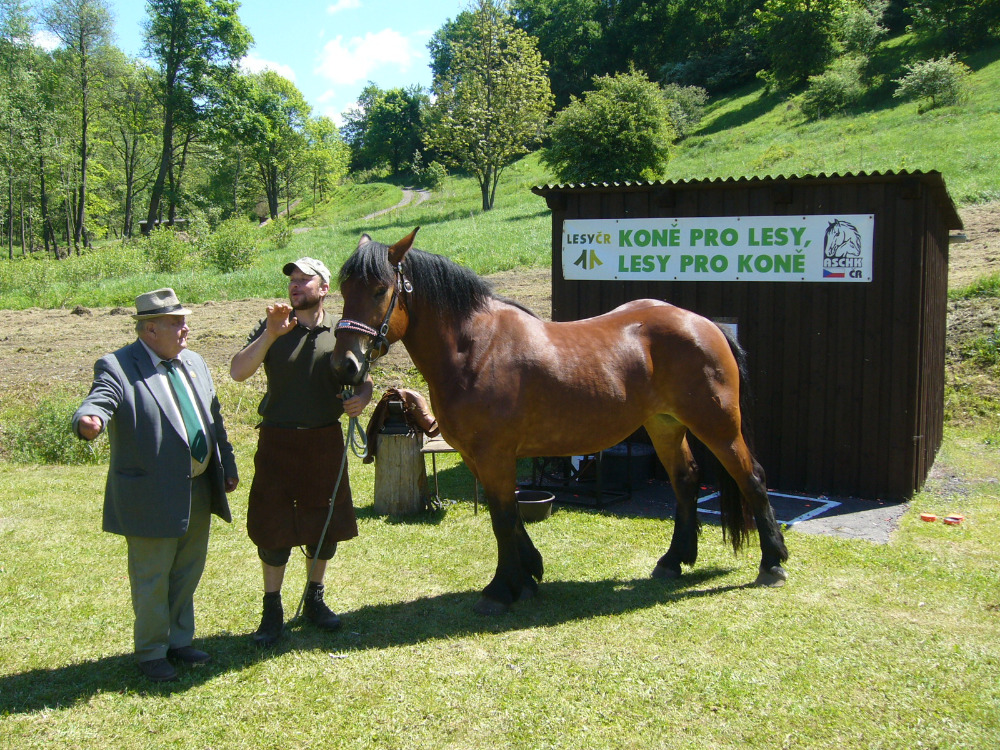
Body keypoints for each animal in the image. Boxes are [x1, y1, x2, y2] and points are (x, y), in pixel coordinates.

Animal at [334, 231, 788, 616]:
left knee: (752, 477)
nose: (346, 365)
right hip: (665, 425)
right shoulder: (479, 458)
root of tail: (705, 323)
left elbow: (502, 518)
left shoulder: (495, 456)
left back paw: (772, 563)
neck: (475, 349)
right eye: (343, 290)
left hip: (718, 426)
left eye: (380, 290)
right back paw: (674, 560)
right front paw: (529, 574)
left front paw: (501, 589)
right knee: (687, 480)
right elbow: (510, 516)